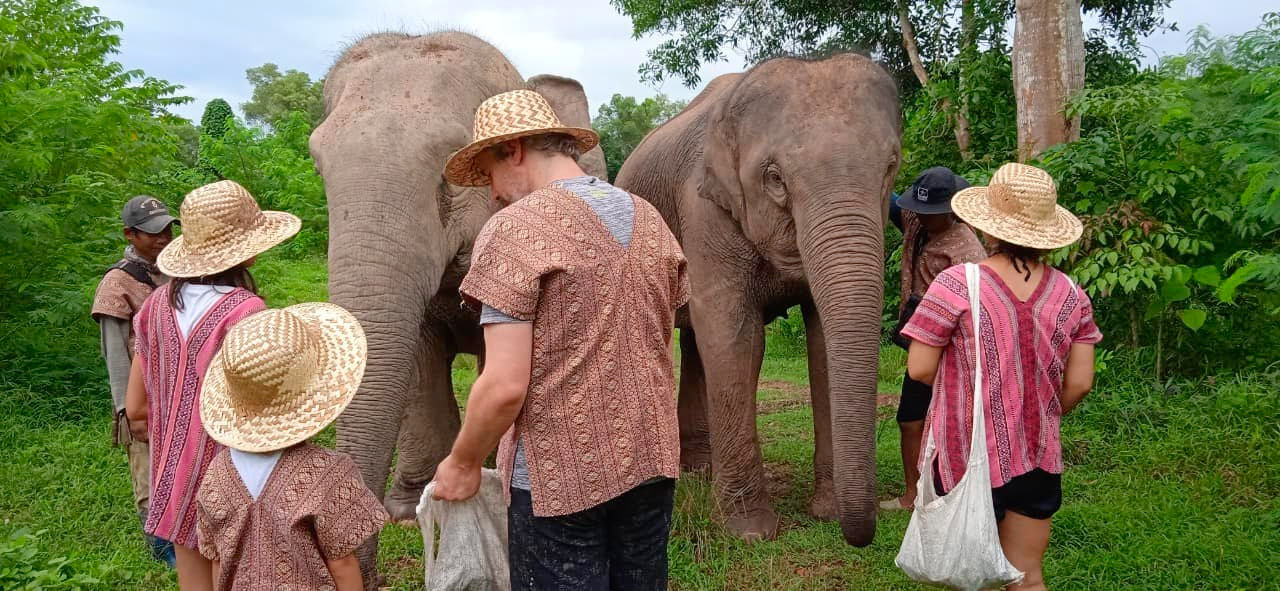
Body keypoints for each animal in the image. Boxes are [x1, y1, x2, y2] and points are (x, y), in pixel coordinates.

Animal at [311, 30, 609, 578]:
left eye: (452, 164)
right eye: (317, 163)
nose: (367, 578)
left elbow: (499, 365)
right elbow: (419, 361)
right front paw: (407, 510)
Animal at [611, 51, 901, 544]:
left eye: (890, 169)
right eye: (775, 178)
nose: (860, 534)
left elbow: (822, 341)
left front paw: (825, 513)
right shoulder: (704, 209)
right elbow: (735, 336)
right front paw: (749, 533)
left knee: (694, 343)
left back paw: (701, 471)